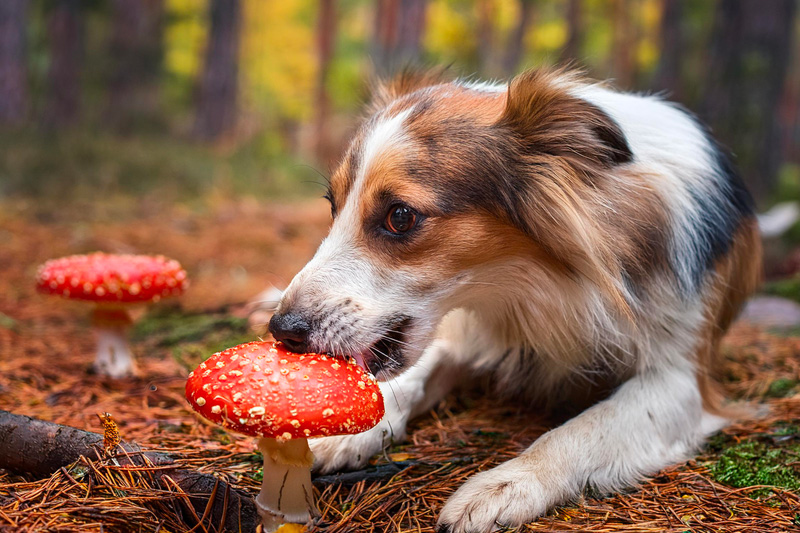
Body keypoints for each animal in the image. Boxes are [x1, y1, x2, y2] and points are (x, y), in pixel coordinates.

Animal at [266, 67, 760, 532]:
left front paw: (508, 484)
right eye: (333, 205)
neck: (535, 286)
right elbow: (410, 379)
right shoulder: (468, 333)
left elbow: (586, 427)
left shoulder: (681, 380)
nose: (282, 330)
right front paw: (349, 429)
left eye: (400, 216)